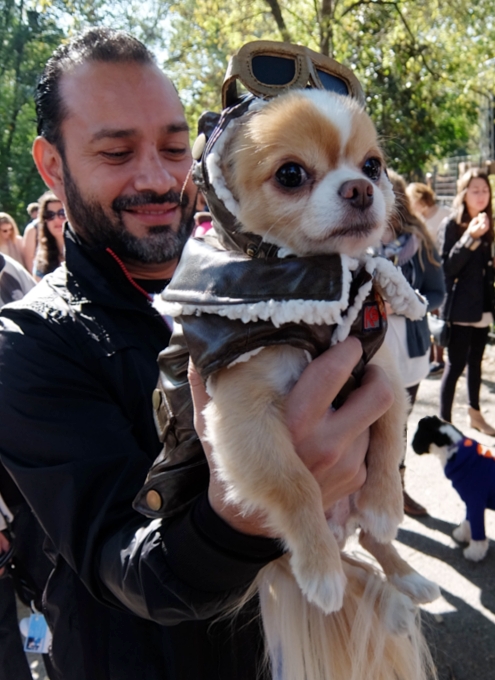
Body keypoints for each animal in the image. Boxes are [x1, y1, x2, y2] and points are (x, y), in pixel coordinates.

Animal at [164, 89, 438, 680]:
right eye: (291, 174)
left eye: (373, 166)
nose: (361, 188)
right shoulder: (242, 417)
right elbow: (296, 484)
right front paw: (322, 572)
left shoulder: (379, 372)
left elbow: (386, 442)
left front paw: (386, 502)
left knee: (374, 541)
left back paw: (408, 580)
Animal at [412, 414, 494, 564]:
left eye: (418, 434)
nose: (412, 446)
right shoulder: (471, 504)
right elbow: (467, 521)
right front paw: (462, 534)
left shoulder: (476, 503)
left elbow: (477, 531)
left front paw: (474, 553)